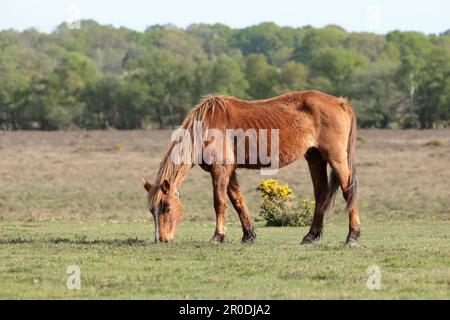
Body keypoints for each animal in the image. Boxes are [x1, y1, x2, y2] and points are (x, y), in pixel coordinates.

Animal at [141, 90, 358, 245]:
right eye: (152, 210)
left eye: (167, 208)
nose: (161, 240)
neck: (206, 126)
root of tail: (340, 102)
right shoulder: (229, 172)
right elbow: (238, 201)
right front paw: (248, 235)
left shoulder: (220, 170)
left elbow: (220, 203)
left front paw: (218, 236)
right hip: (315, 158)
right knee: (320, 194)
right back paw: (310, 236)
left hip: (336, 159)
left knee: (348, 191)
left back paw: (352, 236)